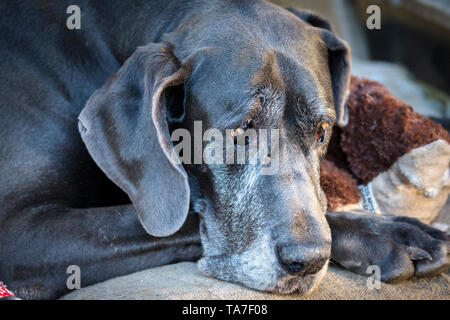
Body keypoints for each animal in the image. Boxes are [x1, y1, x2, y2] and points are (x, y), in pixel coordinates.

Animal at [0, 0, 448, 300]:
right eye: (241, 131)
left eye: (322, 131)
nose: (308, 260)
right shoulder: (20, 234)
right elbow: (183, 218)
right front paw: (383, 235)